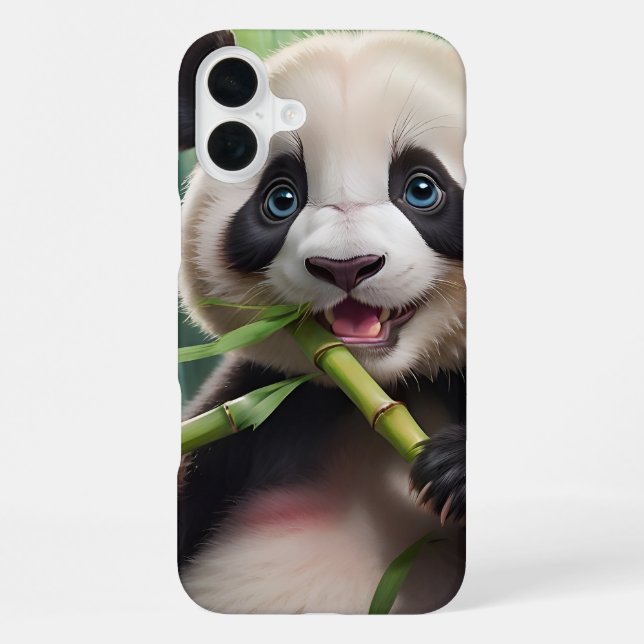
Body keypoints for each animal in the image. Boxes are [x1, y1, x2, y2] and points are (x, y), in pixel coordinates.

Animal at [178, 30, 466, 614]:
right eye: (281, 198)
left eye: (422, 189)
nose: (346, 266)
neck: (379, 391)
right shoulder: (250, 412)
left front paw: (450, 469)